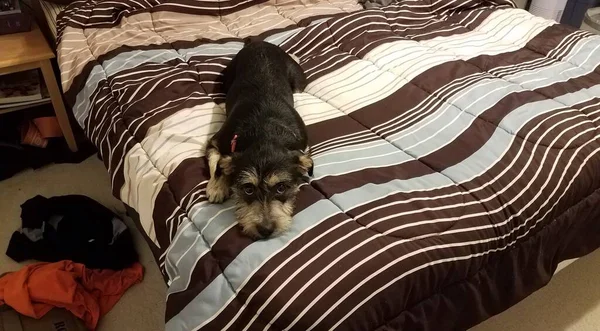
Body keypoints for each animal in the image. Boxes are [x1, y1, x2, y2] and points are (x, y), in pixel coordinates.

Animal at [205, 40, 312, 240]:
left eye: (281, 187)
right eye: (248, 189)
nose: (266, 230)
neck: (265, 132)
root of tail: (257, 42)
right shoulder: (215, 141)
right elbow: (217, 163)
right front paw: (217, 187)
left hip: (299, 80)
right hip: (225, 79)